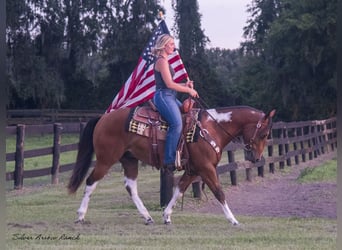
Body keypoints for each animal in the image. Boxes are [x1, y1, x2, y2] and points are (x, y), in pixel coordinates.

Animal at [67, 104, 276, 226]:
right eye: (264, 134)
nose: (256, 158)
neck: (213, 128)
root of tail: (103, 118)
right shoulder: (206, 168)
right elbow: (219, 192)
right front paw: (233, 219)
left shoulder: (193, 170)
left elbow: (179, 190)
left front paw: (167, 215)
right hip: (106, 159)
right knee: (91, 181)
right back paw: (80, 215)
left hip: (129, 160)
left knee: (130, 187)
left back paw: (147, 216)